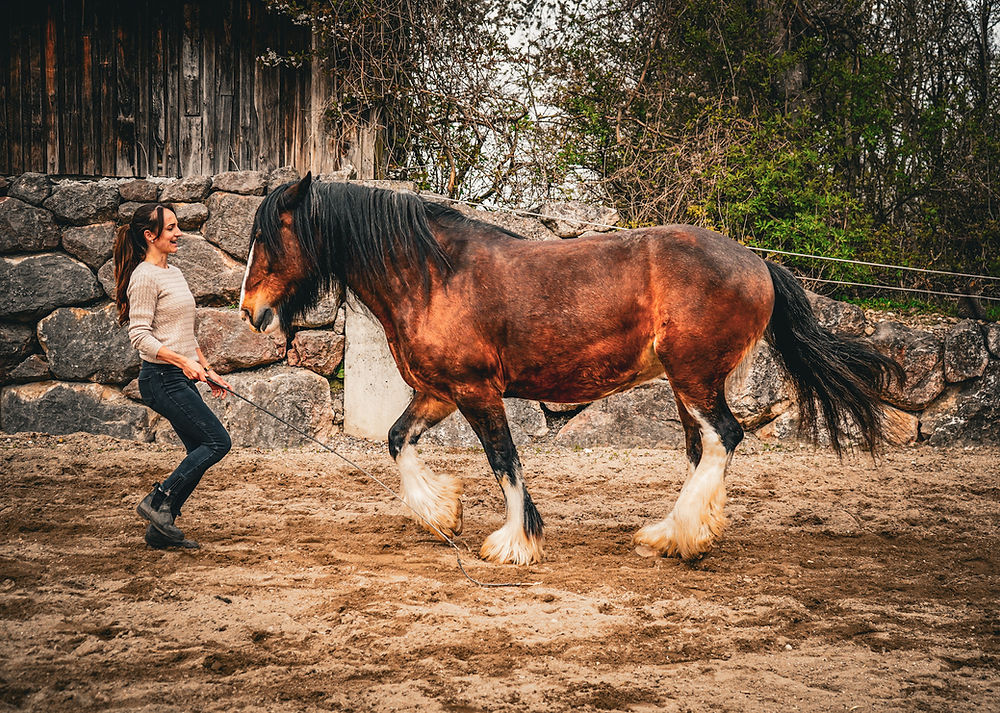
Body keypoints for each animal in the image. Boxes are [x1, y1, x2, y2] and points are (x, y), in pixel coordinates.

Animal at [239, 173, 899, 566]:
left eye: (269, 235)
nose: (250, 311)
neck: (432, 275)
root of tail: (758, 263)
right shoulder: (439, 393)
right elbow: (398, 440)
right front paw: (442, 513)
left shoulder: (477, 392)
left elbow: (504, 461)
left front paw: (513, 543)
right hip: (686, 384)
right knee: (704, 449)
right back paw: (681, 534)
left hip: (694, 378)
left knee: (724, 438)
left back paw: (676, 535)